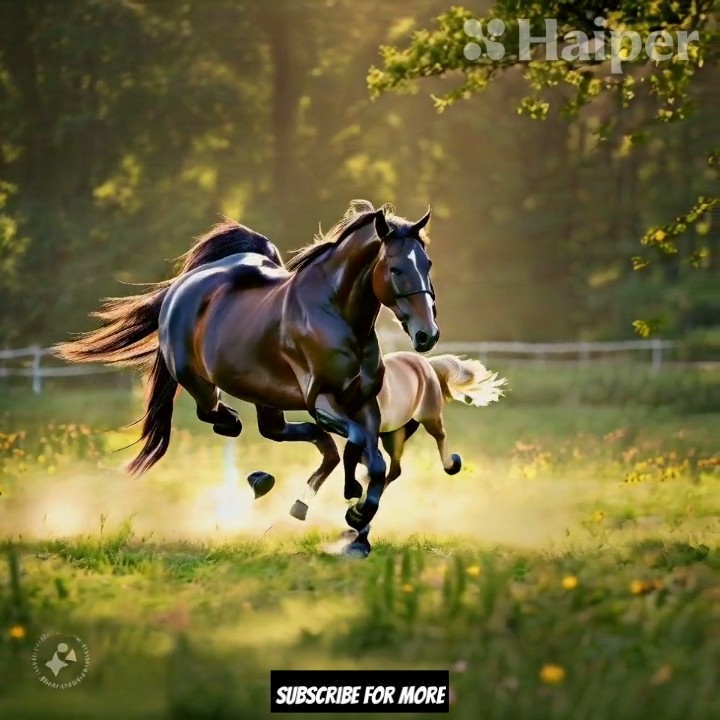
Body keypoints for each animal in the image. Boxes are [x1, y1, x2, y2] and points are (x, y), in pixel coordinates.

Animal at [55, 199, 439, 556]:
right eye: (395, 268)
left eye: (427, 264)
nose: (427, 335)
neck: (336, 314)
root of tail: (185, 285)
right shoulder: (322, 400)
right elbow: (363, 448)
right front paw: (354, 507)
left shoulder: (364, 402)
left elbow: (377, 462)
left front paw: (357, 524)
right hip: (198, 381)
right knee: (220, 416)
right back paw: (257, 469)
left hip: (267, 400)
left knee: (294, 437)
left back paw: (273, 486)